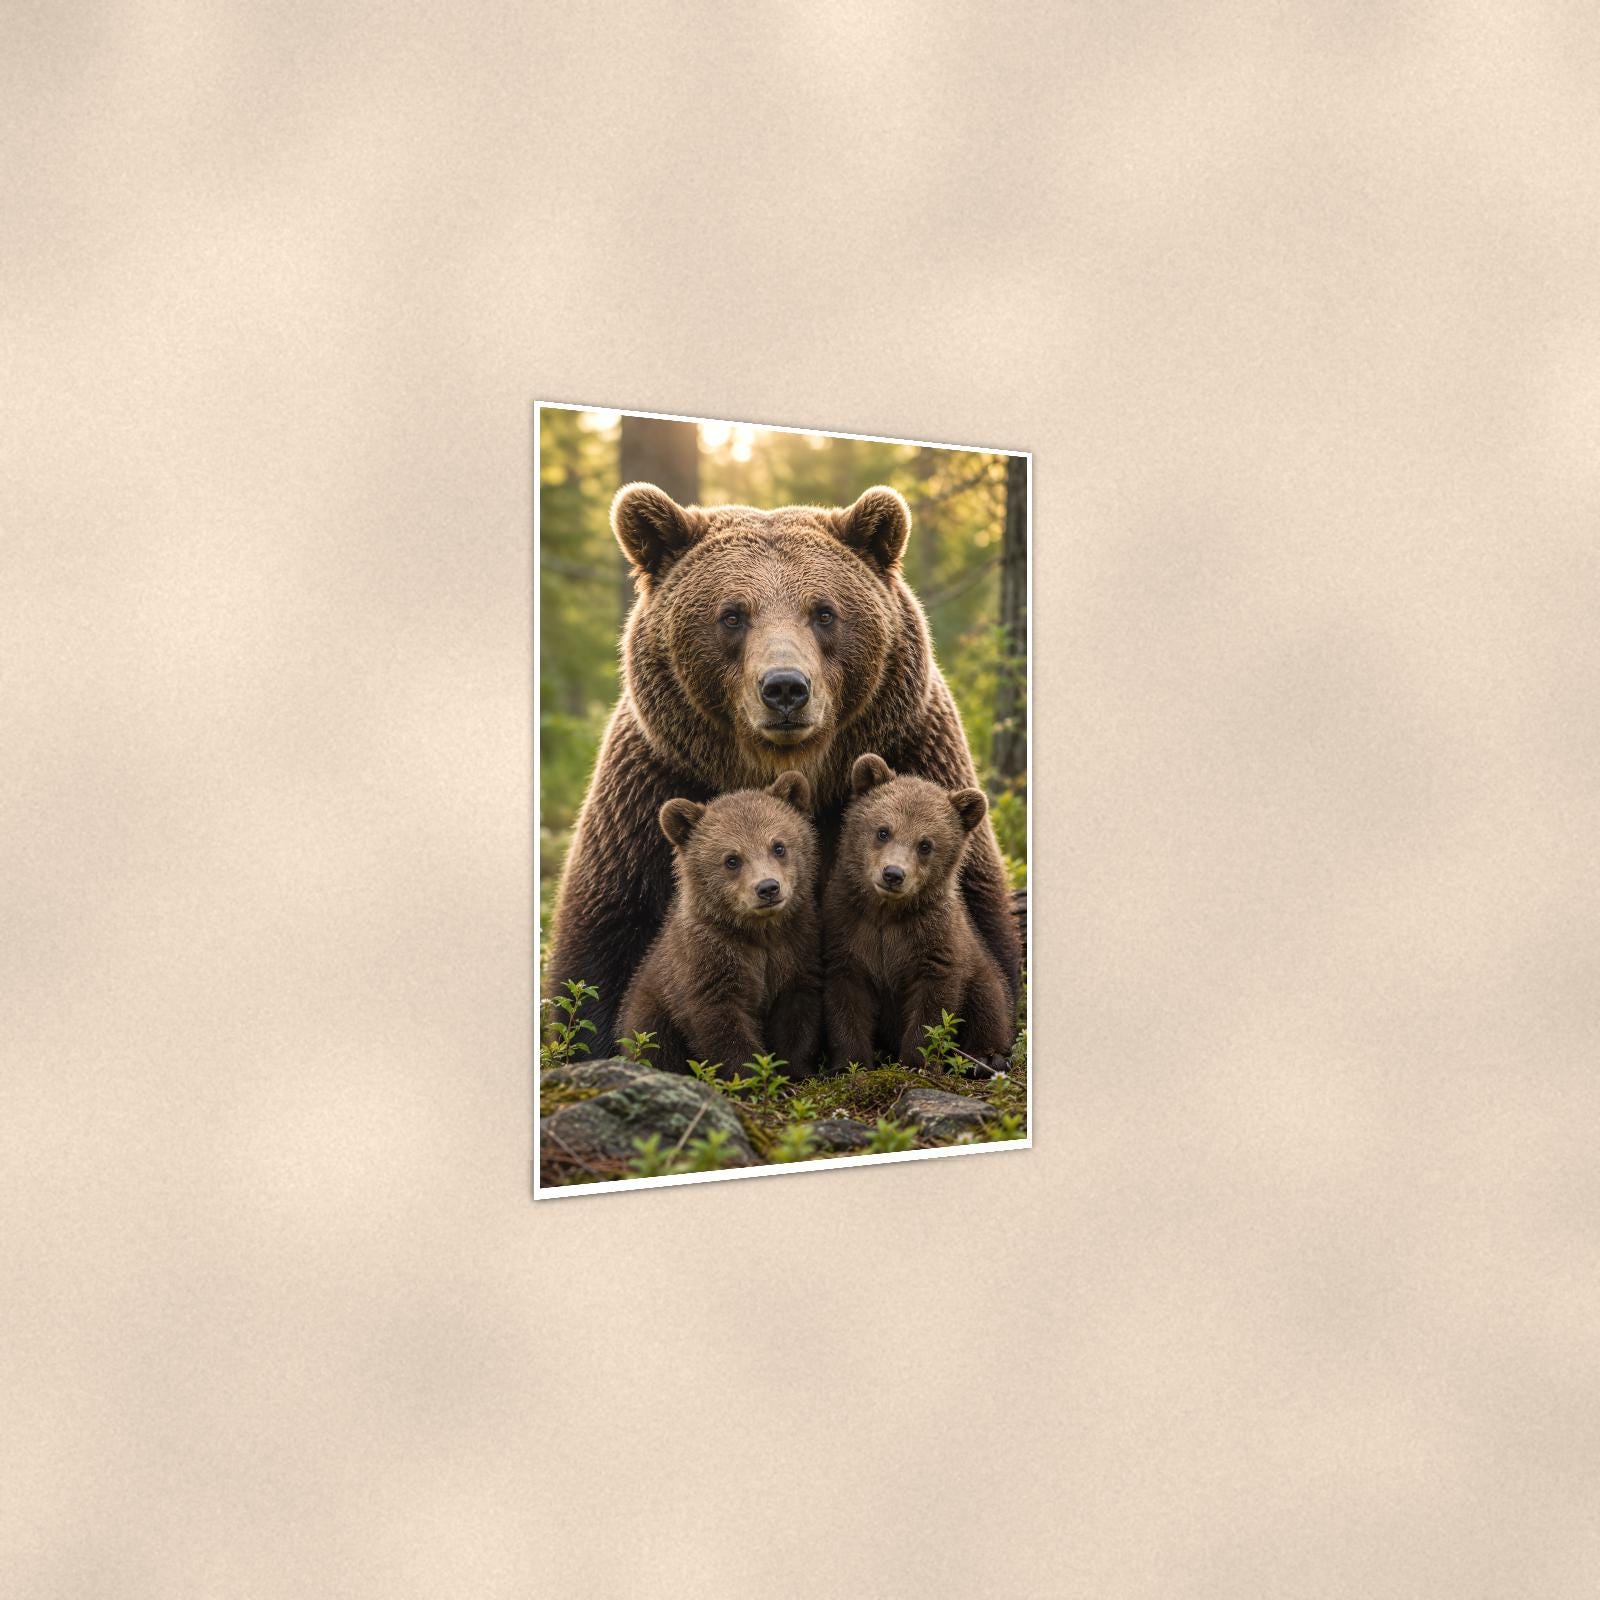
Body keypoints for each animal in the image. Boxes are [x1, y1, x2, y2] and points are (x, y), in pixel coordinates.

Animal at [616, 772, 821, 1077]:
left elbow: (797, 1016)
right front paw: (754, 1075)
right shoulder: (708, 960)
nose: (768, 888)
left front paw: (796, 1070)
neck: (760, 933)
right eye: (732, 859)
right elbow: (720, 1024)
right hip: (649, 1011)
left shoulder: (796, 949)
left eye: (778, 846)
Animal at [822, 754, 1015, 1075]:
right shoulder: (848, 930)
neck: (886, 914)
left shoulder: (934, 938)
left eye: (925, 844)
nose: (893, 874)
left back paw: (985, 1058)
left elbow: (933, 1003)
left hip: (980, 968)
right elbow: (845, 998)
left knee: (989, 1000)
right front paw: (851, 1063)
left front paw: (917, 1061)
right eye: (883, 831)